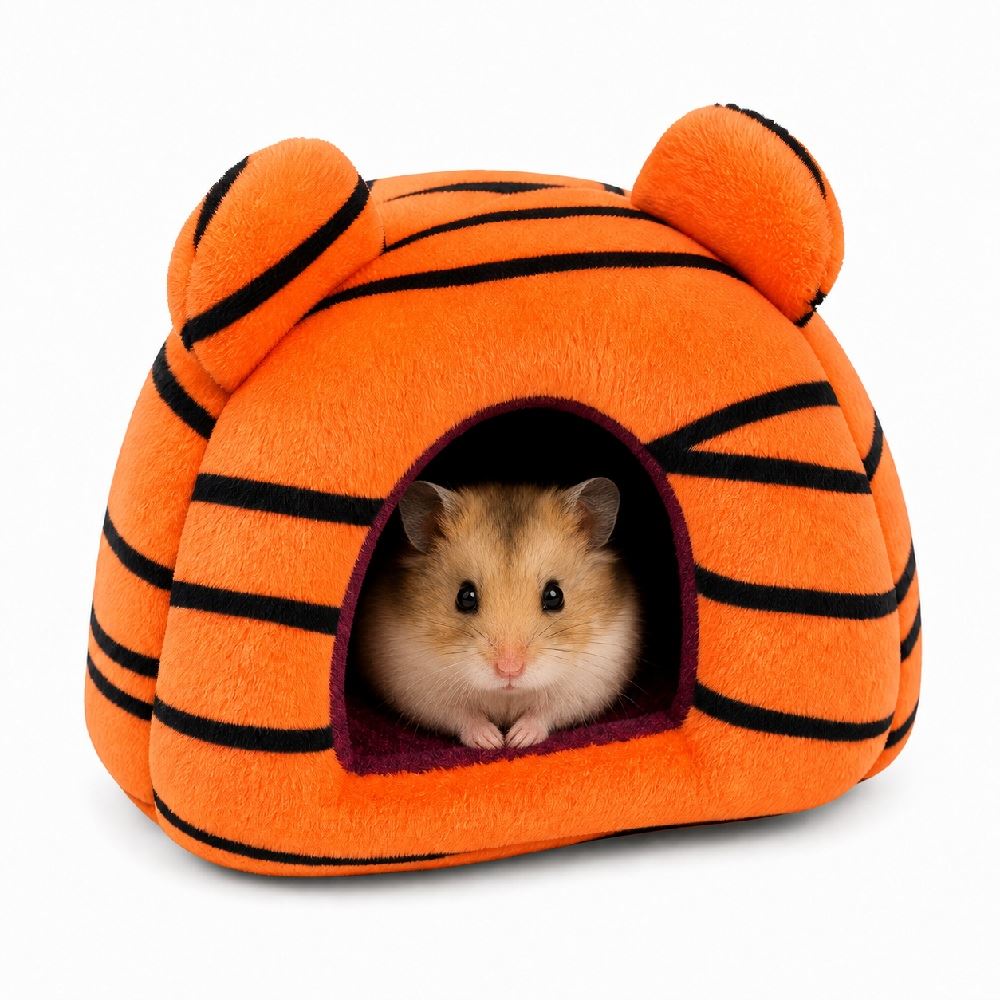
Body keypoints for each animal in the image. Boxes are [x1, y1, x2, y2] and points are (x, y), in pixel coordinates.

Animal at [355, 478, 640, 749]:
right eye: (465, 597)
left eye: (554, 595)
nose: (509, 670)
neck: (506, 694)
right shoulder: (418, 687)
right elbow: (462, 716)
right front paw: (492, 741)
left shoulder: (589, 682)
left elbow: (545, 712)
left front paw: (517, 739)